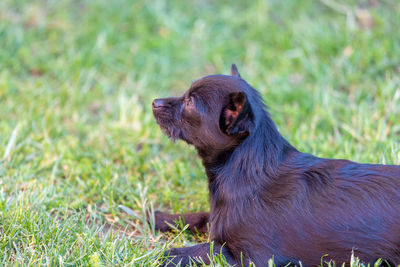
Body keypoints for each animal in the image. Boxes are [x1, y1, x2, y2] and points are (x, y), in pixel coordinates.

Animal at [151, 65, 400, 267]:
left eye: (190, 102)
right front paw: (155, 216)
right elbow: (195, 217)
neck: (246, 170)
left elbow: (208, 249)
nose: (154, 102)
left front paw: (169, 254)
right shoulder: (215, 219)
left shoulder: (251, 257)